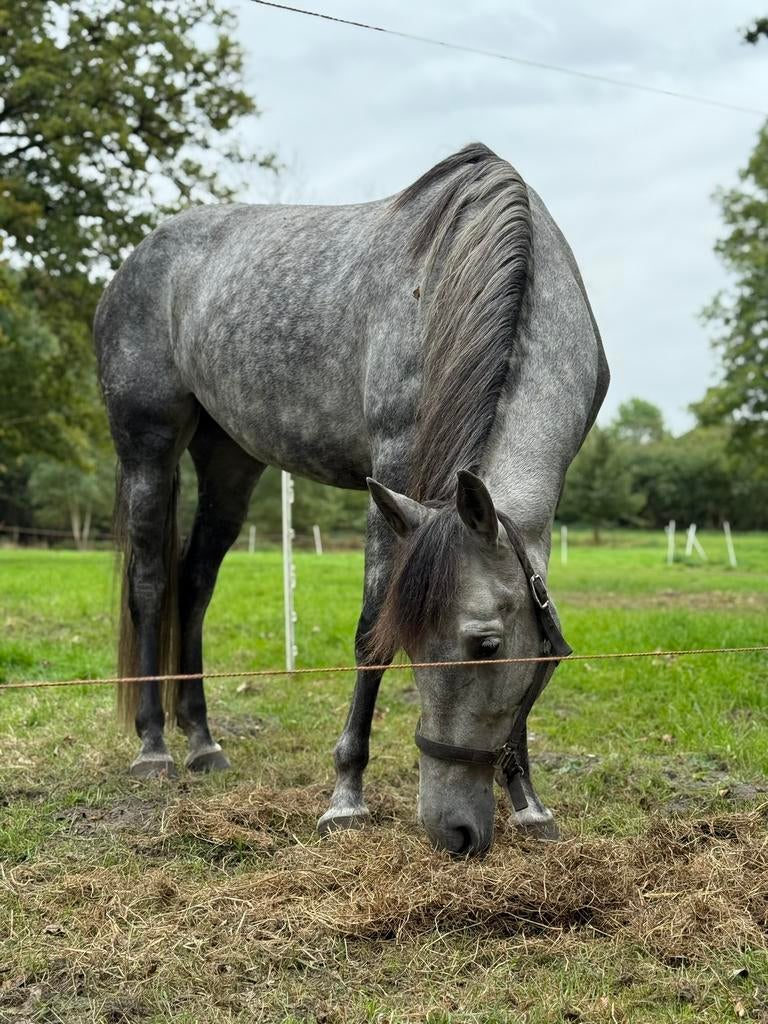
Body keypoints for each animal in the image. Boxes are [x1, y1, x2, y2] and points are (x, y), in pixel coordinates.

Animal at [94, 142, 608, 857]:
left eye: (485, 644)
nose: (453, 830)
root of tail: (135, 261)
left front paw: (529, 802)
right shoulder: (391, 471)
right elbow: (370, 632)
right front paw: (345, 797)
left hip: (230, 460)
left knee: (194, 583)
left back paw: (202, 742)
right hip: (148, 446)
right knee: (149, 584)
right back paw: (154, 747)